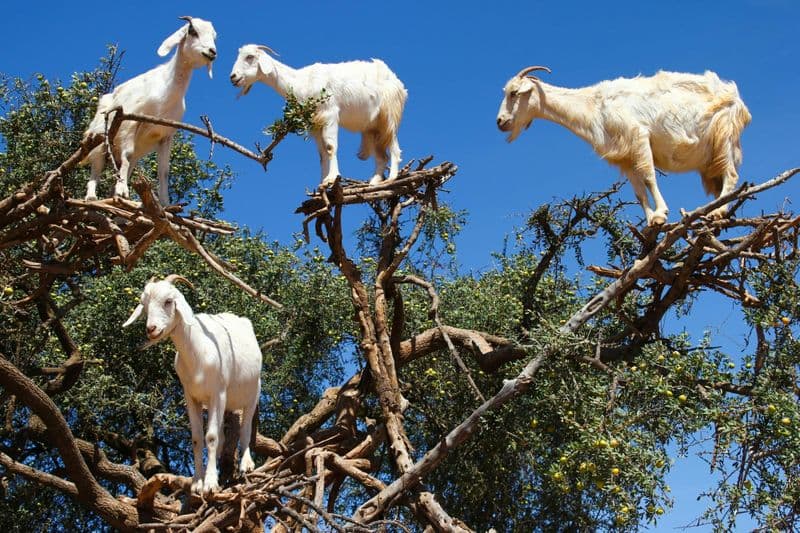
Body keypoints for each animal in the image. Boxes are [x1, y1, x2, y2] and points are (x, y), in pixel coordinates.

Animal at [83, 17, 217, 204]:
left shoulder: (165, 135)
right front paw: (122, 191)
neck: (166, 90)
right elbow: (128, 154)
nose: (212, 52)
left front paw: (166, 204)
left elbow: (164, 171)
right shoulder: (130, 122)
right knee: (97, 166)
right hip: (98, 140)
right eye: (193, 31)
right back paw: (92, 196)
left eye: (214, 35)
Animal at [123, 275, 262, 494]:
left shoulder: (217, 393)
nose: (151, 329)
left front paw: (210, 484)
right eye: (144, 305)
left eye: (168, 301)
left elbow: (211, 437)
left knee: (246, 428)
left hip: (252, 393)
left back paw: (246, 465)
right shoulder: (191, 397)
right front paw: (198, 482)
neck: (198, 350)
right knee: (224, 436)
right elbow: (197, 438)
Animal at [229, 44, 407, 187]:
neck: (302, 82)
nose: (233, 77)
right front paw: (322, 183)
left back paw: (391, 178)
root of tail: (397, 81)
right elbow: (322, 155)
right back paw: (374, 181)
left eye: (250, 57)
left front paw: (332, 179)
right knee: (381, 156)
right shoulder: (315, 125)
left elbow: (330, 147)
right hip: (372, 128)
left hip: (389, 117)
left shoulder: (330, 115)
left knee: (394, 147)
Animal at [496, 67, 751, 225]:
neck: (594, 106)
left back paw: (718, 211)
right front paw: (649, 223)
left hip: (723, 136)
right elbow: (638, 192)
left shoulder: (639, 137)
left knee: (731, 175)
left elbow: (649, 177)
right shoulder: (625, 157)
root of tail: (738, 99)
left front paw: (660, 215)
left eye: (514, 92)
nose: (500, 121)